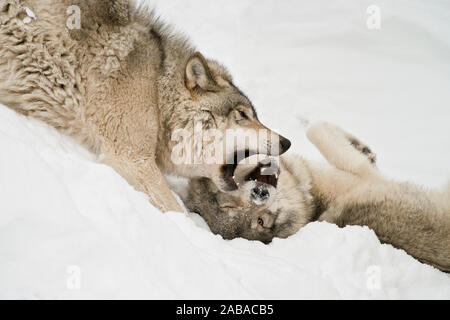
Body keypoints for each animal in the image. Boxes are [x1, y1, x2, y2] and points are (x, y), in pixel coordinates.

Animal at [0, 0, 292, 212]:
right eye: (242, 115)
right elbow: (174, 209)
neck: (158, 94)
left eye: (254, 115)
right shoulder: (131, 158)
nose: (287, 142)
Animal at [184, 122, 450, 272]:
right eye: (260, 222)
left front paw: (364, 149)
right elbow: (317, 129)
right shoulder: (363, 173)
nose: (259, 194)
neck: (312, 199)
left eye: (227, 196)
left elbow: (314, 130)